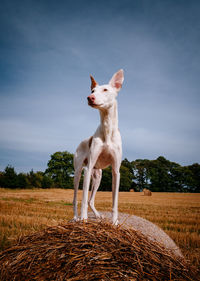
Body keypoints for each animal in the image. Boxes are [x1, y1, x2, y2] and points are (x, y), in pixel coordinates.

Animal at [72, 69, 124, 224]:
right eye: (92, 90)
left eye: (105, 90)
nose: (90, 97)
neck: (107, 129)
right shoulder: (88, 169)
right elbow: (83, 199)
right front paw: (84, 218)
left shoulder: (116, 171)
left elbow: (115, 201)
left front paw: (114, 222)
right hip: (79, 173)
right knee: (76, 199)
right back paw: (76, 217)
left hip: (98, 176)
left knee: (91, 200)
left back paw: (97, 215)